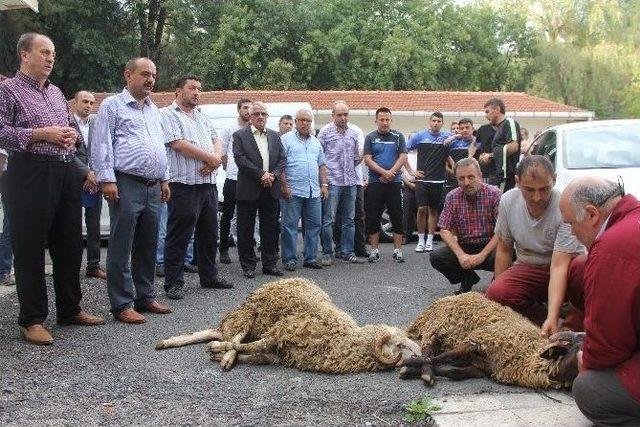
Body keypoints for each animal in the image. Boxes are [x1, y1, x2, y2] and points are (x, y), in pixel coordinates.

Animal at [155, 278, 422, 374]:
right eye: (400, 344)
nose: (422, 355)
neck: (340, 338)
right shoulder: (280, 332)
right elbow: (246, 347)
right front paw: (219, 352)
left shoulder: (277, 355)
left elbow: (252, 355)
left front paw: (222, 356)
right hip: (250, 316)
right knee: (234, 337)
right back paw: (219, 349)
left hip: (242, 320)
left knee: (221, 333)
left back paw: (170, 342)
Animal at [404, 292, 584, 390]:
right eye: (580, 347)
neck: (531, 355)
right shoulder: (478, 339)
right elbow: (442, 357)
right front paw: (410, 366)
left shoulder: (483, 368)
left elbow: (453, 372)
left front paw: (415, 370)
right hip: (436, 327)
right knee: (428, 352)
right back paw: (425, 370)